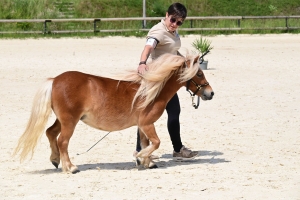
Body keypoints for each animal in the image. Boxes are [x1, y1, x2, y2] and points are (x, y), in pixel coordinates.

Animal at [14, 53, 213, 173]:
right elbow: (155, 143)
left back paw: (55, 160)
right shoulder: (147, 123)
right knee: (62, 141)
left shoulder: (142, 125)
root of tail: (55, 80)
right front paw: (139, 157)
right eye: (199, 73)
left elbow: (145, 143)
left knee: (51, 133)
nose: (210, 93)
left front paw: (146, 162)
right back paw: (71, 167)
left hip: (62, 119)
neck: (150, 92)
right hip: (70, 121)